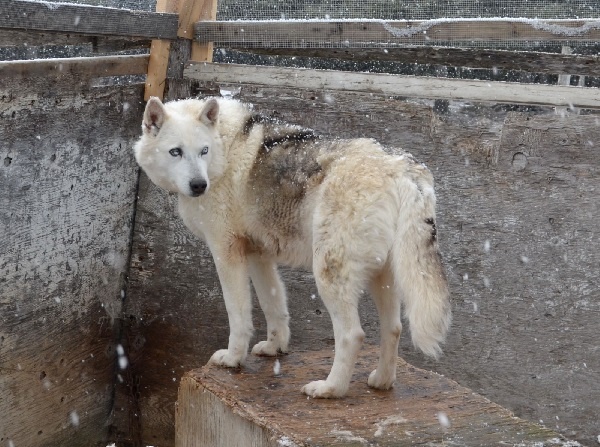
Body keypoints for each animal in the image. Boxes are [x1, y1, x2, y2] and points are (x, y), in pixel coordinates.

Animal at [132, 98, 450, 400]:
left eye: (203, 151)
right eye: (176, 152)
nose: (199, 185)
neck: (223, 150)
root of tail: (404, 170)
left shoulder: (226, 252)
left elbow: (238, 314)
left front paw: (233, 358)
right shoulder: (259, 255)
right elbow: (274, 306)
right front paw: (275, 347)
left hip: (329, 275)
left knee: (353, 335)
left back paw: (330, 389)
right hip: (382, 278)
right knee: (393, 329)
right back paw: (381, 382)